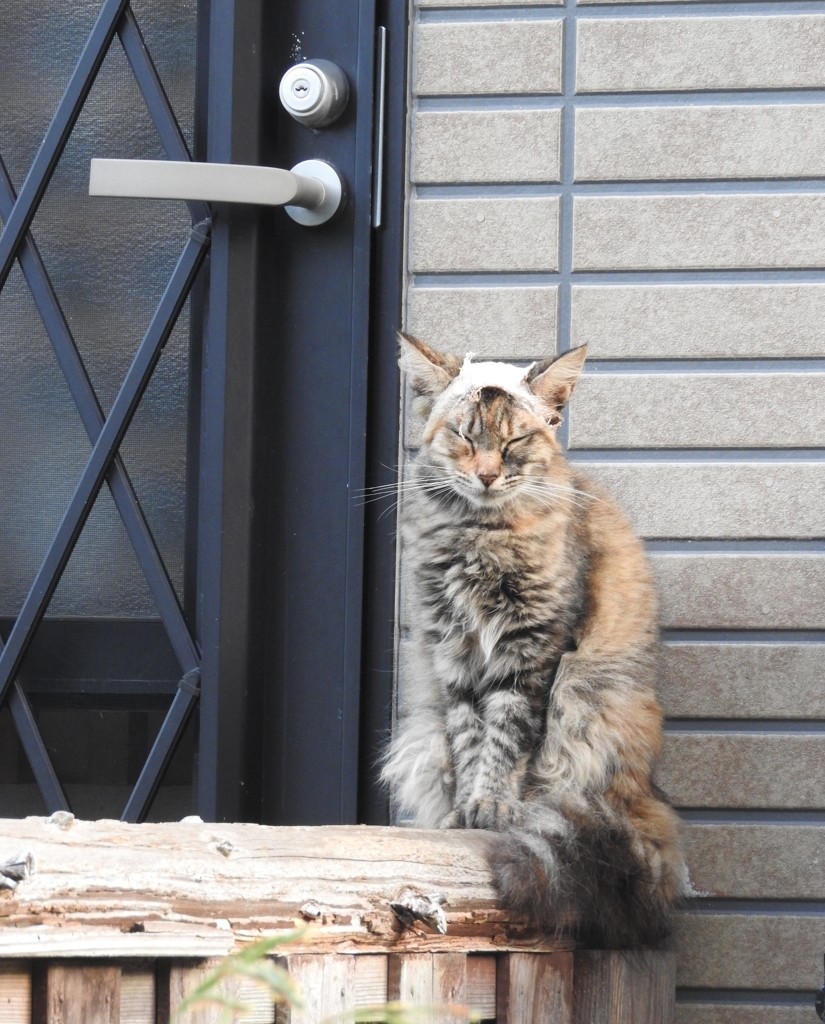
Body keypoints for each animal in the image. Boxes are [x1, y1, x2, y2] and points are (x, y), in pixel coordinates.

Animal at [384, 331, 687, 946]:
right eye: (464, 435)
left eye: (515, 438)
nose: (486, 475)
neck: (479, 537)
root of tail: (647, 794)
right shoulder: (454, 655)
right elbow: (470, 740)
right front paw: (464, 814)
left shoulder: (532, 653)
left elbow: (507, 740)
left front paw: (494, 810)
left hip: (587, 698)